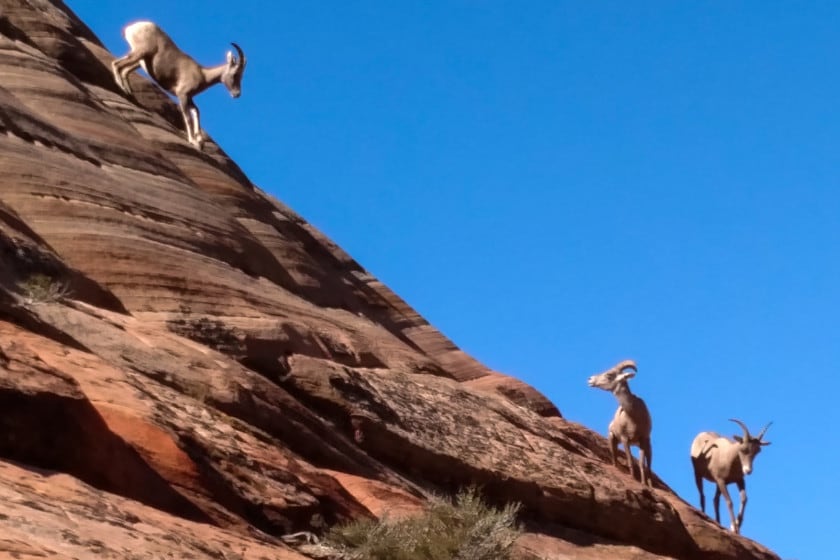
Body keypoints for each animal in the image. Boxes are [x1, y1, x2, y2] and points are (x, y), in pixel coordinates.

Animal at [110, 21, 246, 150]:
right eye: (235, 74)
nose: (237, 94)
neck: (202, 74)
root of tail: (131, 28)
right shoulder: (182, 95)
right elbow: (188, 118)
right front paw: (193, 141)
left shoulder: (189, 98)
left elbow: (197, 111)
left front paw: (200, 142)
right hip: (139, 53)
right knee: (116, 64)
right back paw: (122, 88)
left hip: (139, 60)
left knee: (124, 70)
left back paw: (129, 92)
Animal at [588, 358, 652, 486]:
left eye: (609, 375)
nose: (590, 379)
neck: (633, 416)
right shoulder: (624, 439)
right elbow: (630, 460)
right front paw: (633, 479)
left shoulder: (643, 440)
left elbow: (641, 464)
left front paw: (643, 484)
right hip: (612, 439)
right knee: (614, 458)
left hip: (648, 446)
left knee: (649, 467)